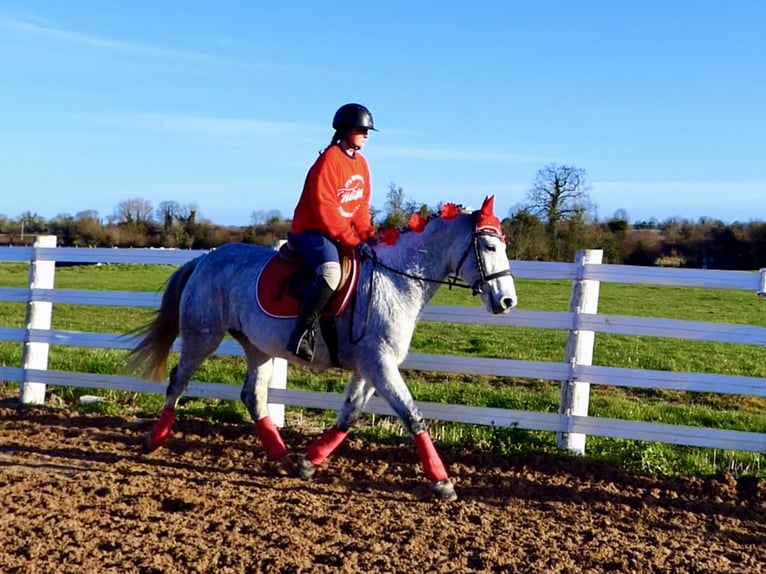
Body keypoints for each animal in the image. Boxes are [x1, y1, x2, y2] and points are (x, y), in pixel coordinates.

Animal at [127, 195, 517, 501]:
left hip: (258, 347)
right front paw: (442, 481)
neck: (396, 280)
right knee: (178, 380)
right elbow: (411, 415)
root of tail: (205, 259)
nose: (507, 301)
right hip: (202, 336)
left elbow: (349, 415)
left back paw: (281, 457)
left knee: (253, 395)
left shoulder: (370, 367)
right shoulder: (380, 364)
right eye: (490, 247)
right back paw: (155, 438)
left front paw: (308, 461)